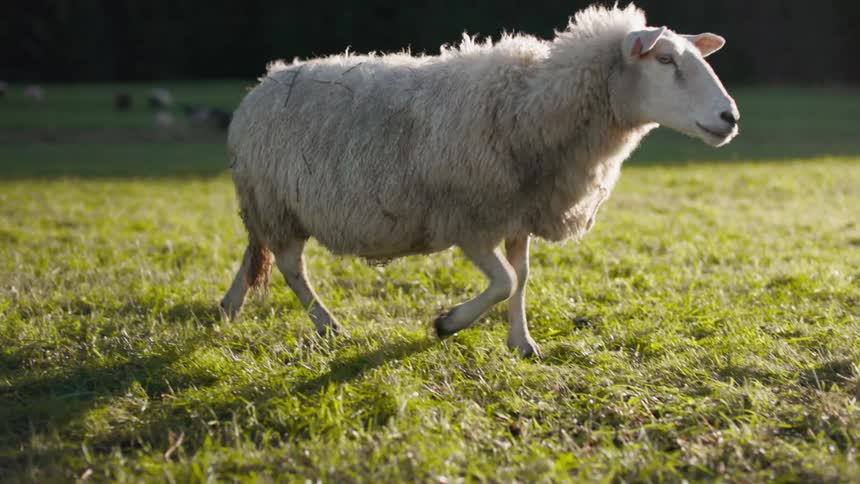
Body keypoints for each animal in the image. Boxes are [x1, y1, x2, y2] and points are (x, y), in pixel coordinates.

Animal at [220, 3, 739, 358]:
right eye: (665, 60)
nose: (730, 117)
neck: (532, 103)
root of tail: (262, 84)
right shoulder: (468, 219)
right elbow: (505, 281)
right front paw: (447, 324)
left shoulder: (519, 215)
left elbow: (522, 277)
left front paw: (521, 343)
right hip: (277, 202)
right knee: (292, 266)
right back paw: (326, 323)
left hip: (264, 203)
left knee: (255, 253)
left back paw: (229, 306)